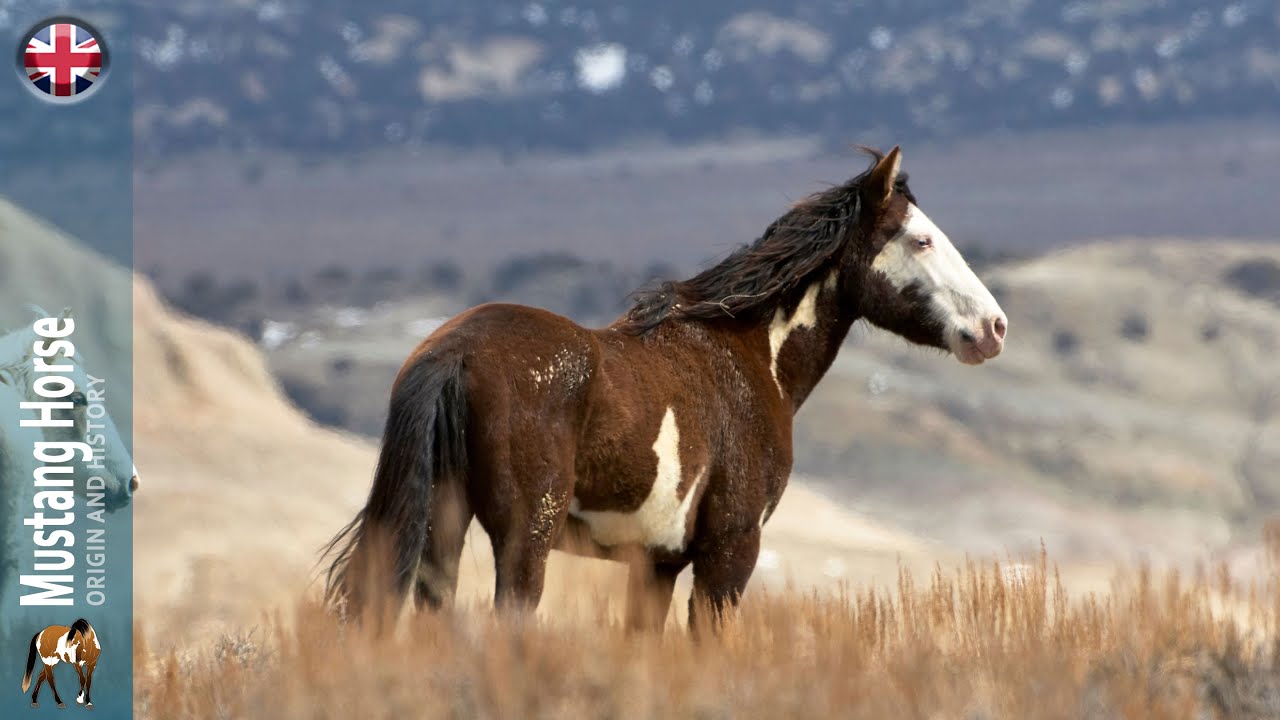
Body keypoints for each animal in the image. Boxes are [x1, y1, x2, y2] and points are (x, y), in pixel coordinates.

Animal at [323, 146, 1007, 633]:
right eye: (920, 238)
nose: (993, 328)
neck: (749, 357)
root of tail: (454, 353)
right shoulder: (730, 551)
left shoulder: (656, 563)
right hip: (525, 536)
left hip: (443, 526)